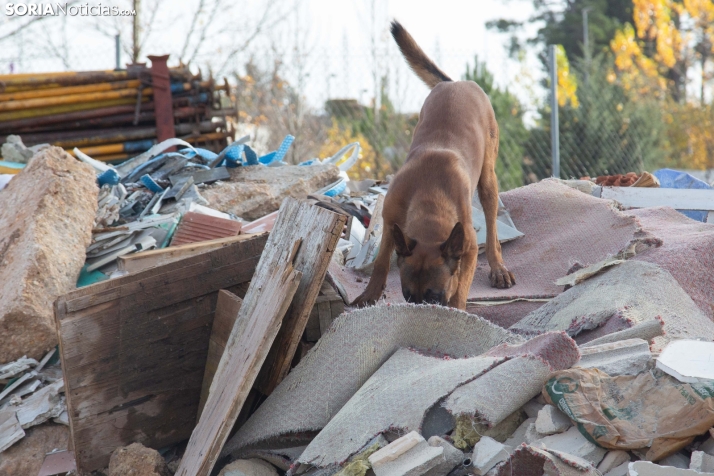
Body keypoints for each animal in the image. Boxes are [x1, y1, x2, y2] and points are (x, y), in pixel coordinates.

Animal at [350, 20, 512, 308]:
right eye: (407, 296)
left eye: (434, 297)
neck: (429, 195)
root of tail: (456, 83)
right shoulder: (391, 226)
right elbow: (381, 263)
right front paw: (369, 295)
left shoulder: (468, 249)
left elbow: (459, 292)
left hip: (488, 181)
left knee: (492, 226)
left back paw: (497, 266)